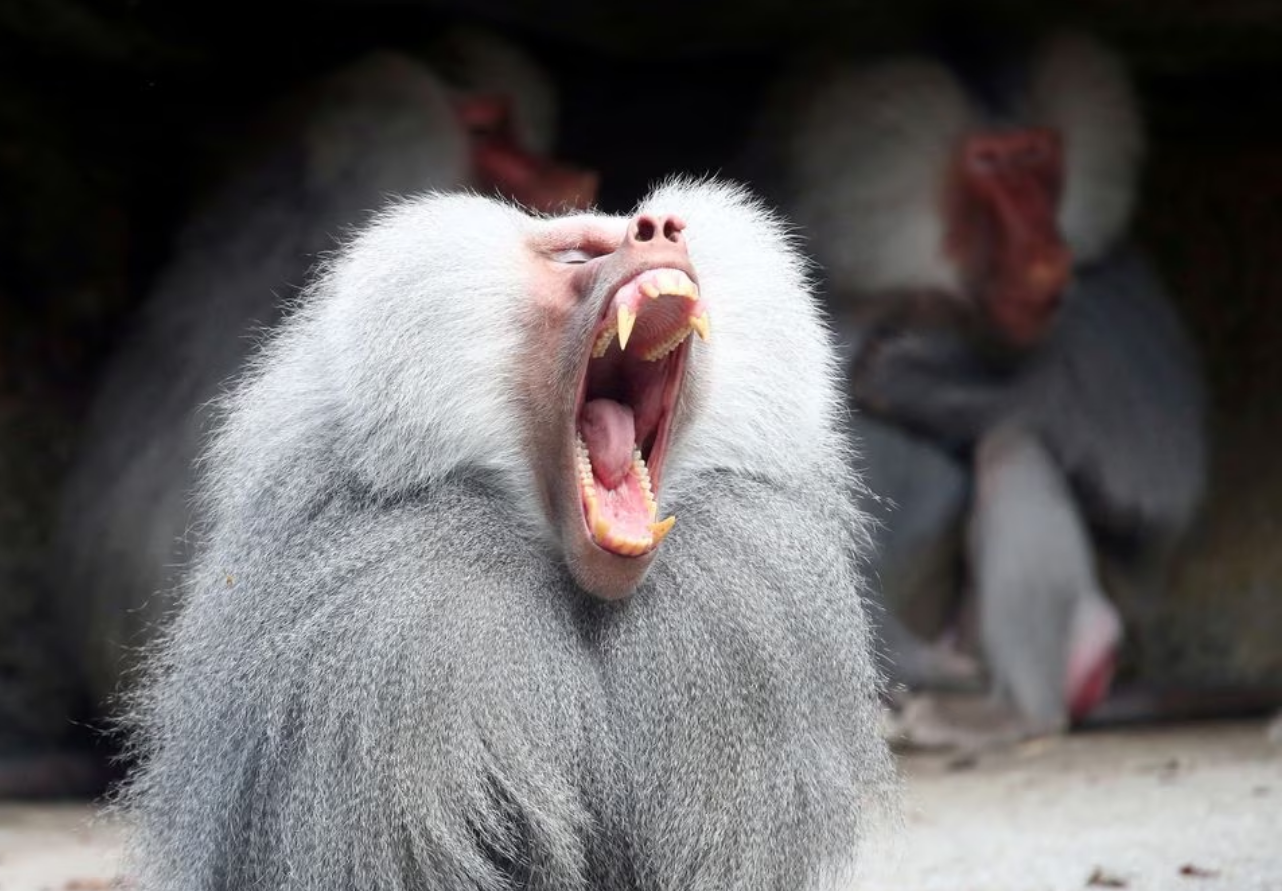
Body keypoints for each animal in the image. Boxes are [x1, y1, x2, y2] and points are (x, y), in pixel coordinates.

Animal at [751, 29, 1208, 745]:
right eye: (990, 163)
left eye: (1038, 155)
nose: (1048, 257)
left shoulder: (1110, 299)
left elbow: (1149, 488)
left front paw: (914, 376)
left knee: (1011, 451)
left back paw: (1001, 716)